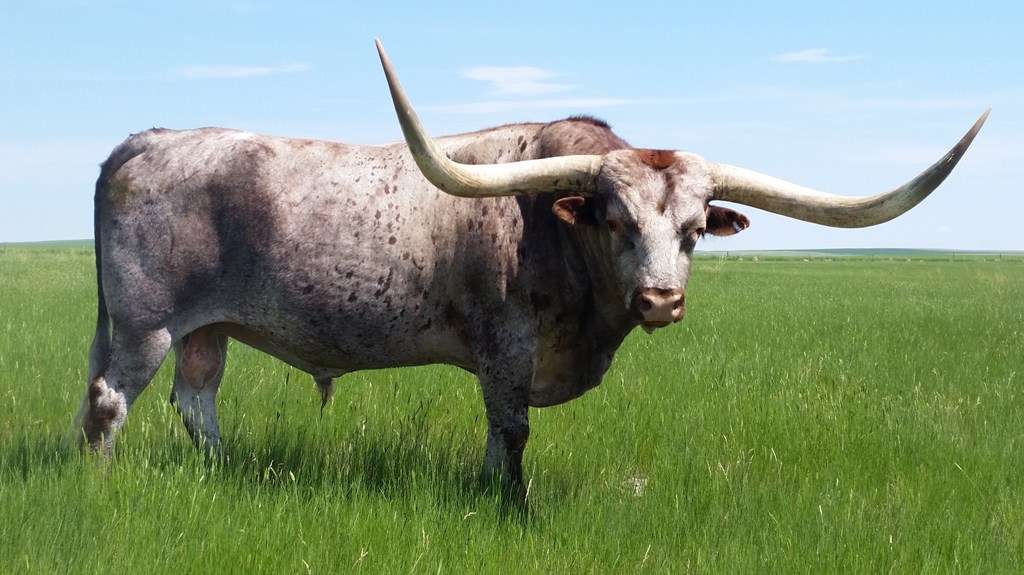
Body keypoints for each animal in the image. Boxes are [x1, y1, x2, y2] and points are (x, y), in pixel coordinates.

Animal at [74, 40, 988, 494]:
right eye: (615, 219)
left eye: (695, 229)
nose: (662, 299)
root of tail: (146, 140)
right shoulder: (504, 341)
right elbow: (512, 428)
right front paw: (510, 501)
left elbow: (494, 430)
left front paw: (487, 488)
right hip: (146, 323)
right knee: (111, 400)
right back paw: (102, 484)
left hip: (208, 329)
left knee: (198, 401)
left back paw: (222, 472)